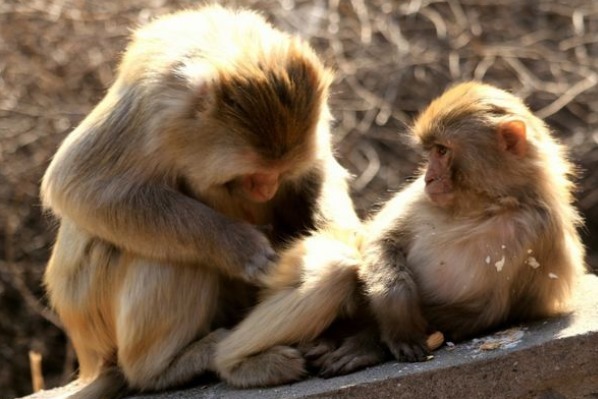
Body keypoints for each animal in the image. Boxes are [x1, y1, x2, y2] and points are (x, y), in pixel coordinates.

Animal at [43, 4, 360, 398]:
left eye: (279, 172)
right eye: (250, 175)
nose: (266, 189)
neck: (228, 48)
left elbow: (316, 171)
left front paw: (335, 236)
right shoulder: (154, 108)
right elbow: (79, 184)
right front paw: (239, 247)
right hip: (99, 320)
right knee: (169, 255)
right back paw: (163, 369)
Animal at [214, 82, 584, 388]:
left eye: (442, 150)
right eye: (431, 152)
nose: (429, 177)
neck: (483, 206)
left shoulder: (539, 233)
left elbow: (486, 311)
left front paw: (366, 344)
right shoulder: (420, 197)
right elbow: (379, 242)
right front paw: (394, 305)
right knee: (339, 267)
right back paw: (234, 363)